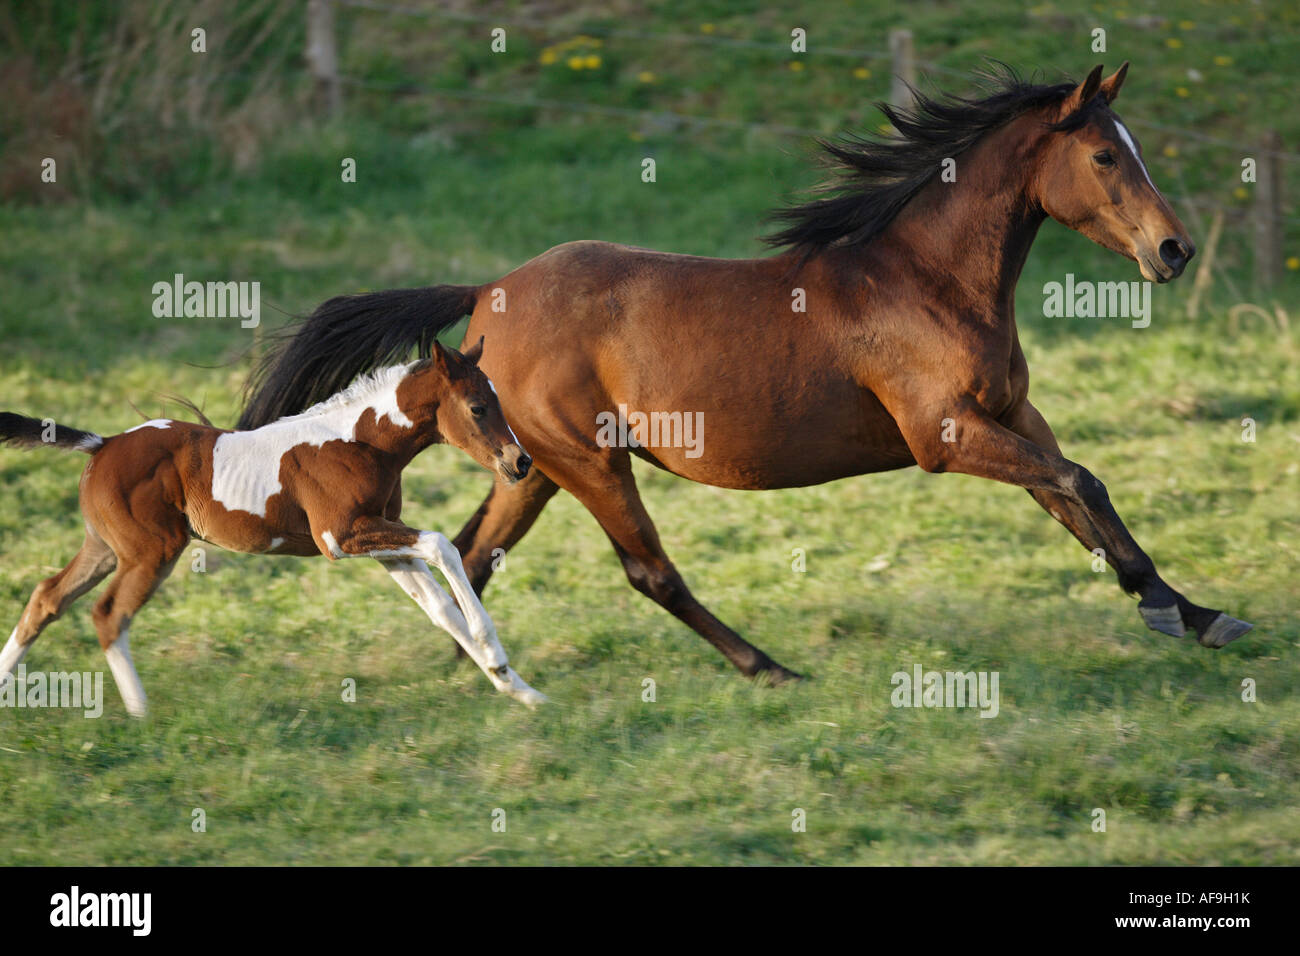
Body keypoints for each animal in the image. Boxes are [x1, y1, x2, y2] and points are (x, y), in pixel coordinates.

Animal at [0, 339, 546, 715]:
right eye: (477, 407)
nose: (520, 462)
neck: (360, 442)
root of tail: (103, 443)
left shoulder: (382, 541)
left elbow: (440, 608)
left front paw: (518, 688)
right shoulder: (341, 537)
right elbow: (442, 546)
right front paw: (494, 652)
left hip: (106, 548)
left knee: (47, 597)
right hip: (151, 551)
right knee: (108, 614)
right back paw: (141, 714)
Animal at [236, 63, 1253, 682]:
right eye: (1105, 154)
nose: (1176, 250)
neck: (926, 282)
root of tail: (487, 295)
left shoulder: (1012, 419)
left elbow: (1082, 498)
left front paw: (1192, 611)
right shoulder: (948, 435)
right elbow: (1082, 484)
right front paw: (1177, 613)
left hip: (533, 466)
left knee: (477, 548)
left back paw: (481, 669)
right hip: (591, 461)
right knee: (648, 570)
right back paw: (767, 666)